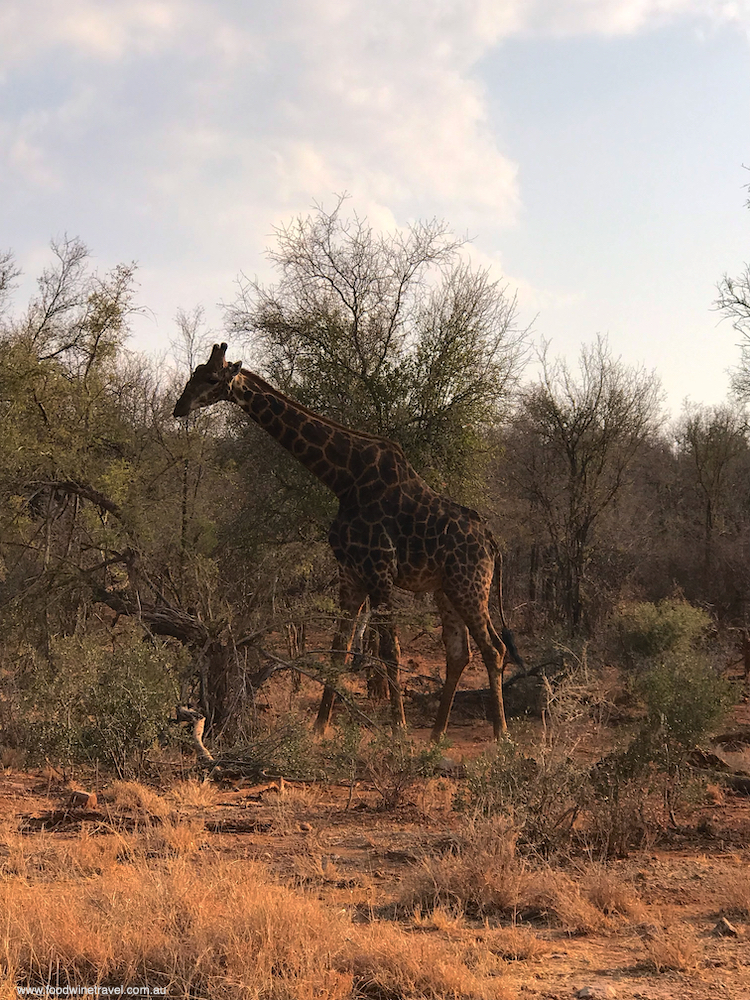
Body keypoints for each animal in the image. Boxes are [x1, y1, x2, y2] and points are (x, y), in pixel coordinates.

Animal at [171, 340, 524, 740]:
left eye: (212, 378)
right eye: (196, 372)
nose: (179, 407)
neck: (343, 479)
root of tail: (492, 541)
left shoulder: (380, 571)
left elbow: (389, 650)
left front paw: (399, 727)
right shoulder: (350, 572)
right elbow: (338, 650)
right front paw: (319, 725)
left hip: (470, 585)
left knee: (494, 648)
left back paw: (501, 733)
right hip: (445, 589)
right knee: (459, 652)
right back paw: (437, 735)